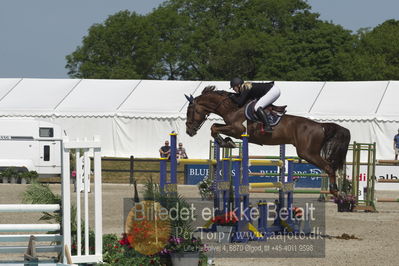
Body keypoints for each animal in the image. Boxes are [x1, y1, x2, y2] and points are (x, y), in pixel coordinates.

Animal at [184, 86, 350, 196]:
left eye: (189, 111)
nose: (189, 131)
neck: (232, 107)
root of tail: (321, 126)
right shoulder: (232, 128)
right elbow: (215, 127)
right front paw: (226, 142)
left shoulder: (237, 130)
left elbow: (214, 127)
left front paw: (226, 142)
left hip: (307, 153)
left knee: (329, 167)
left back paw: (336, 191)